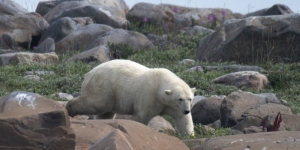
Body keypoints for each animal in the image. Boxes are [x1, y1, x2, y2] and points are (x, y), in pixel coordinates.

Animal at [66, 59, 197, 135]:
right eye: (180, 99)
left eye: (190, 99)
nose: (187, 110)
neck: (160, 83)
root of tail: (89, 73)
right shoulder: (149, 95)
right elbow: (142, 116)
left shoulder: (171, 106)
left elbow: (182, 119)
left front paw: (188, 135)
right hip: (103, 87)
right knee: (96, 104)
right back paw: (69, 109)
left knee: (105, 113)